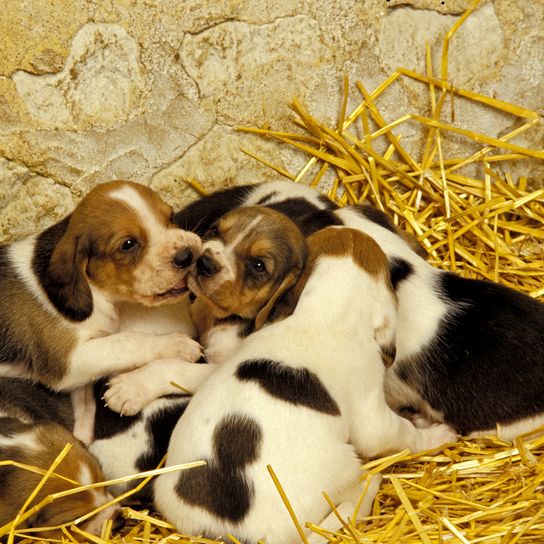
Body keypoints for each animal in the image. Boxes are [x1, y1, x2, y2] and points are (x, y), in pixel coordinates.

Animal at [1, 181, 201, 444]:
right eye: (128, 244)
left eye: (171, 216)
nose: (187, 255)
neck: (95, 290)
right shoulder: (70, 360)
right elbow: (126, 341)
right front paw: (177, 345)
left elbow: (85, 401)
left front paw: (83, 436)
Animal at [153, 227, 454, 540]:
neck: (328, 311)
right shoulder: (372, 412)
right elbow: (402, 434)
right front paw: (438, 435)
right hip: (344, 463)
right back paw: (369, 487)